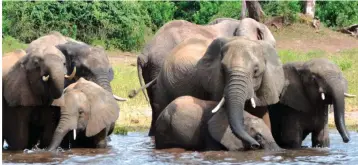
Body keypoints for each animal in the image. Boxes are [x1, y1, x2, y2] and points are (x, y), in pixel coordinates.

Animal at [131, 36, 286, 147]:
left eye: (256, 71)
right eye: (223, 69)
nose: (256, 144)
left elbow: (263, 116)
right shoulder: (214, 85)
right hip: (162, 82)